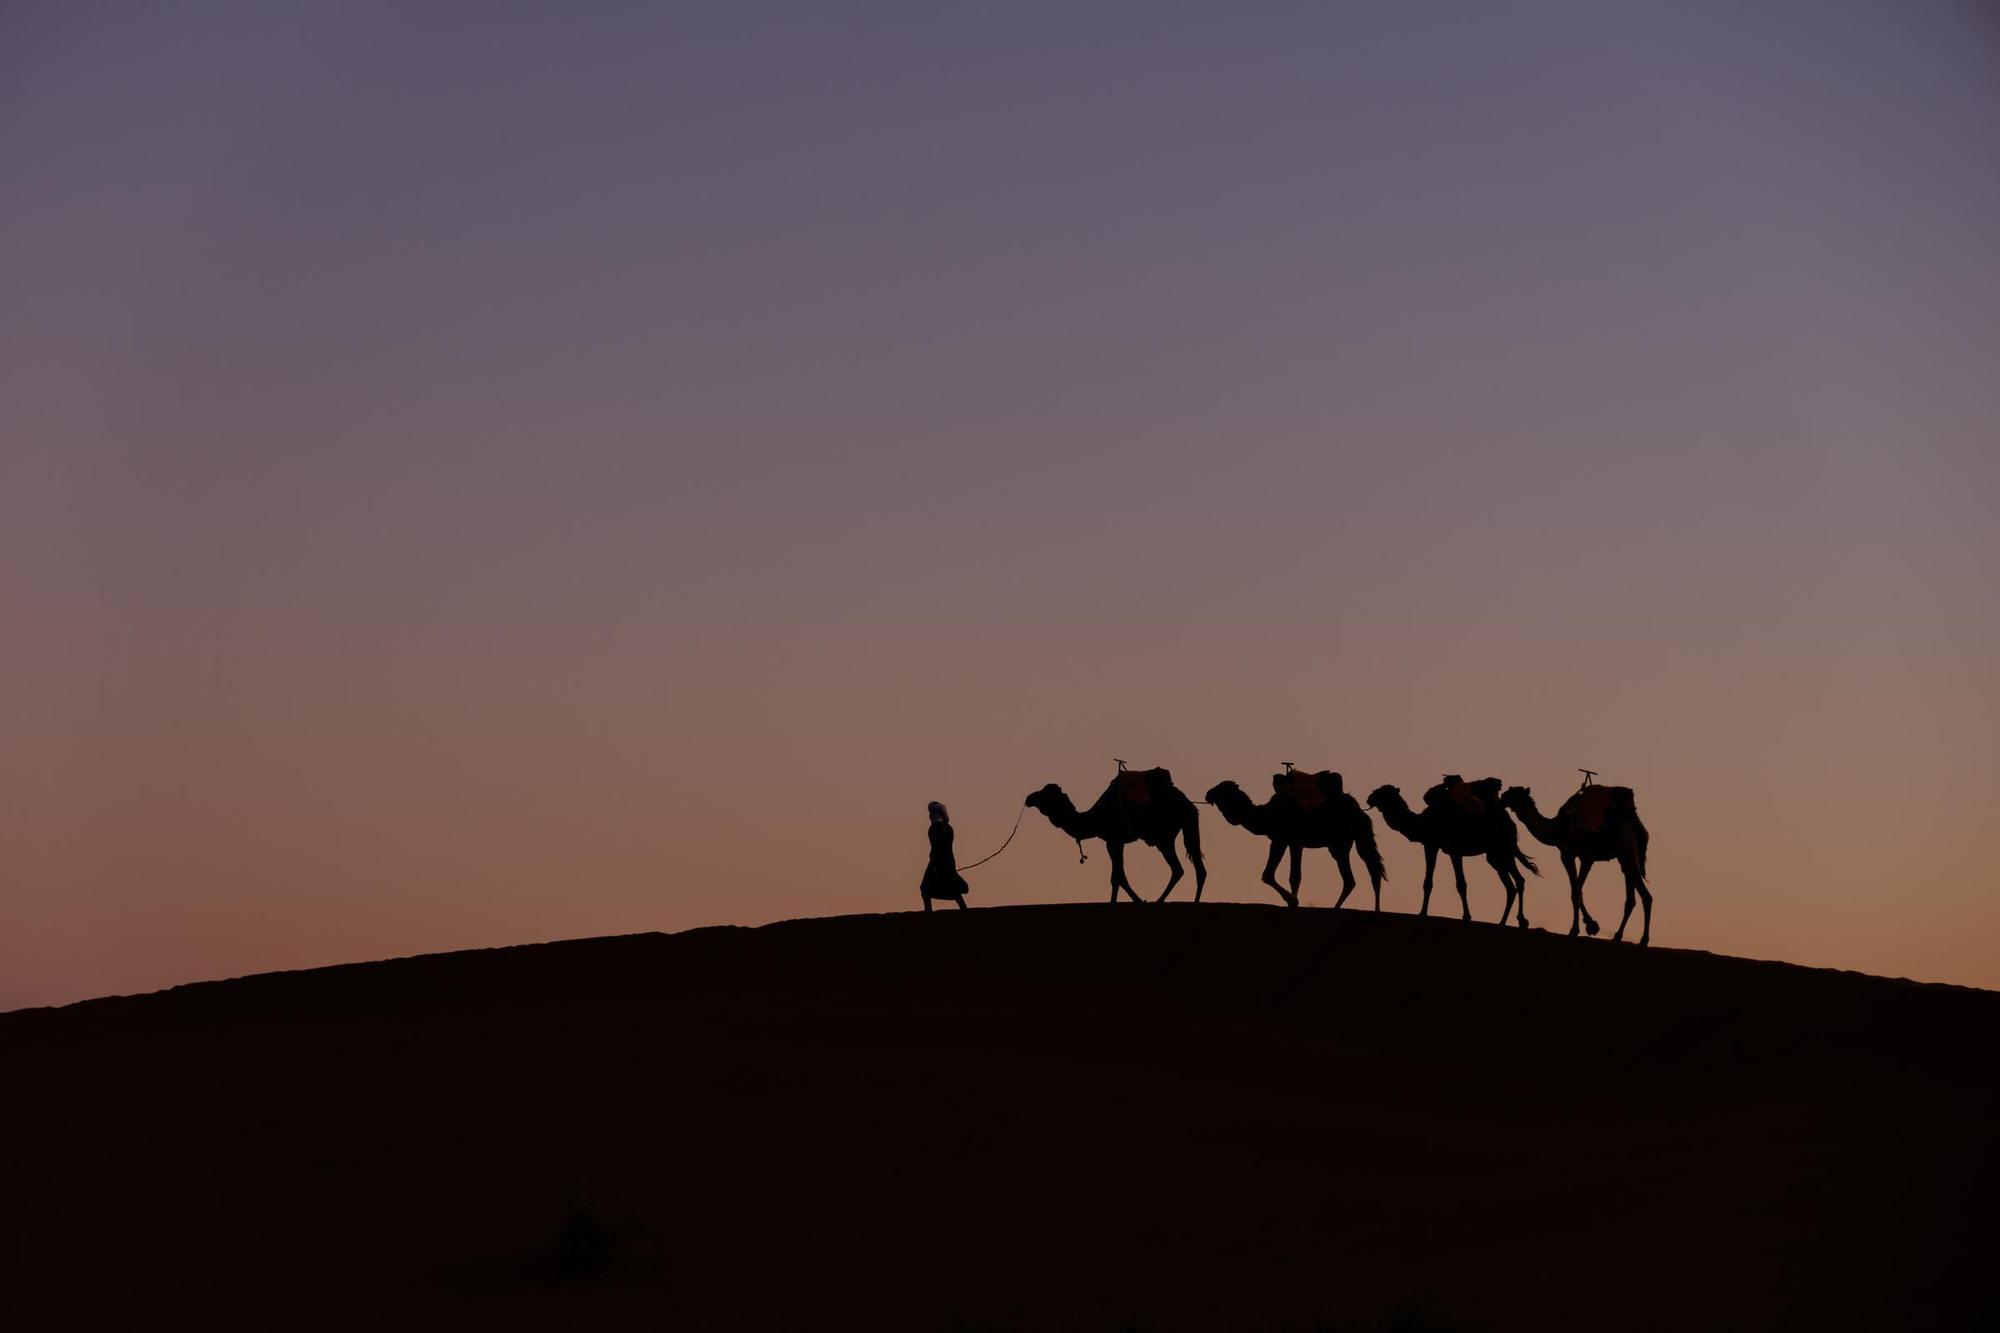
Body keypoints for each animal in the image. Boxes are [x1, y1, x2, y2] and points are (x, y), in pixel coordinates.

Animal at [1024, 768, 1208, 904]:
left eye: (1045, 794)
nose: (1028, 798)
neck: (1096, 817)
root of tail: (1189, 804)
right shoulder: (1115, 841)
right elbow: (1121, 876)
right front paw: (1139, 900)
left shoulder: (1113, 839)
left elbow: (1117, 877)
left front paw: (1120, 902)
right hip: (1177, 832)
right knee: (1190, 868)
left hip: (1165, 835)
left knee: (1182, 868)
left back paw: (1167, 901)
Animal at [1200, 764, 1392, 908]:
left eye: (1223, 788)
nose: (1208, 793)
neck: (1266, 815)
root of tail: (1360, 812)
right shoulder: (1295, 843)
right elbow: (1295, 876)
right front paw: (1293, 901)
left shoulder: (1280, 839)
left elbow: (1268, 874)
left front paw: (1293, 900)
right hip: (1352, 841)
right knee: (1368, 873)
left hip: (1341, 843)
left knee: (1356, 877)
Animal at [1368, 780, 1536, 924]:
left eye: (1383, 792)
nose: (1369, 798)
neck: (1425, 822)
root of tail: (1512, 824)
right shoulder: (1431, 845)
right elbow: (1428, 882)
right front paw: (1422, 913)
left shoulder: (1454, 850)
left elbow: (1461, 883)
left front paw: (1467, 916)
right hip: (1495, 855)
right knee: (1511, 886)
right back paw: (1503, 922)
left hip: (1504, 848)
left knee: (1519, 881)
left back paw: (1521, 920)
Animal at [1504, 780, 1648, 944]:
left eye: (1513, 793)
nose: (1502, 797)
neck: (1557, 828)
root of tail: (1635, 826)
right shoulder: (1587, 858)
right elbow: (1579, 890)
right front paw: (1591, 925)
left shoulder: (1568, 854)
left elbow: (1575, 891)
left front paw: (1575, 929)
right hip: (1627, 857)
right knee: (1631, 897)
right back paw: (1618, 936)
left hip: (1625, 848)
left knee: (1645, 895)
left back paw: (1643, 940)